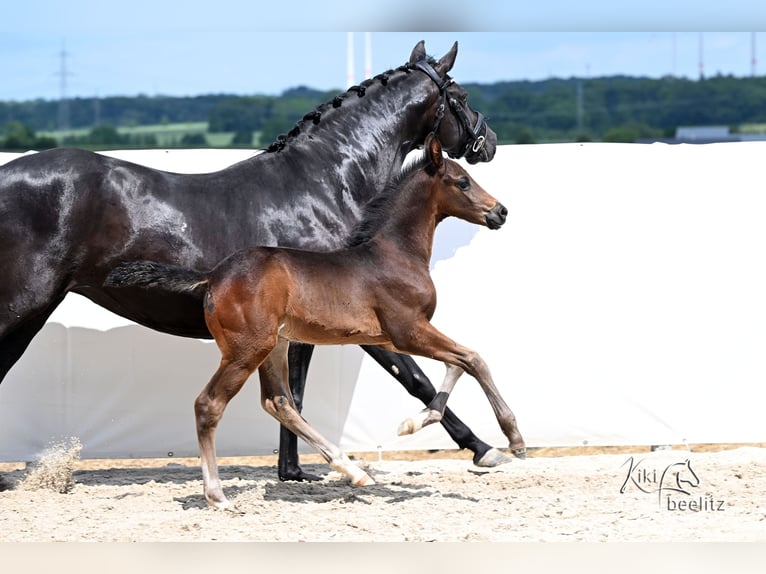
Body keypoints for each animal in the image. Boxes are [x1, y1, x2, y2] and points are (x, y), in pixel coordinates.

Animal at [105, 135, 526, 509]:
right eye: (463, 182)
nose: (501, 211)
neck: (393, 254)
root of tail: (213, 275)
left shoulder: (394, 338)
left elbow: (454, 365)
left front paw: (415, 422)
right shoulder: (408, 331)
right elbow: (472, 359)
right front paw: (513, 438)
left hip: (275, 346)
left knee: (278, 402)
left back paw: (352, 471)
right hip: (246, 350)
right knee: (209, 405)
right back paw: (217, 495)